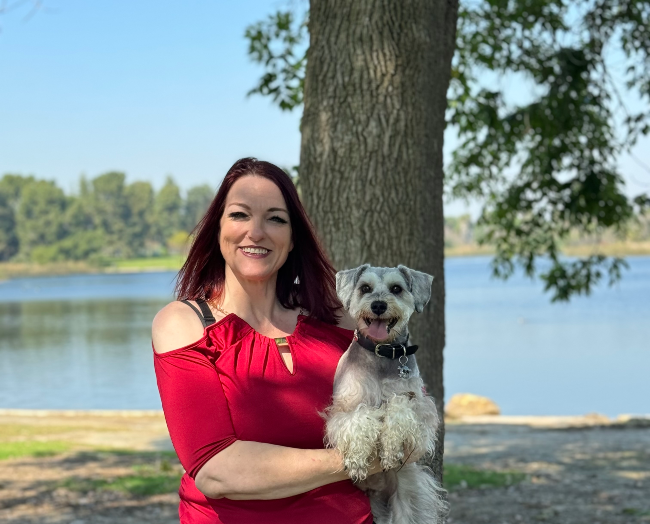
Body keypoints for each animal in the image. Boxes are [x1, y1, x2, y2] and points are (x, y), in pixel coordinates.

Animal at [324, 264, 446, 524]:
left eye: (396, 288)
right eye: (365, 288)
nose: (378, 305)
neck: (382, 352)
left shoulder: (421, 408)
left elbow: (399, 407)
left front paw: (391, 448)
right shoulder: (343, 409)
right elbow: (359, 418)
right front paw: (358, 459)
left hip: (409, 497)